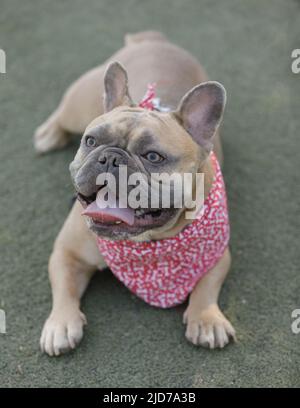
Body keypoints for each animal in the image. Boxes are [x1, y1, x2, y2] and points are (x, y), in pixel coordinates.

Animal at [35, 30, 237, 356]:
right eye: (91, 142)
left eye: (153, 157)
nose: (110, 158)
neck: (144, 242)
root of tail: (151, 38)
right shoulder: (67, 252)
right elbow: (63, 285)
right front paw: (61, 324)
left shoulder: (218, 252)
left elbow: (207, 285)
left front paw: (207, 319)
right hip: (78, 105)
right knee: (62, 113)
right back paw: (48, 134)